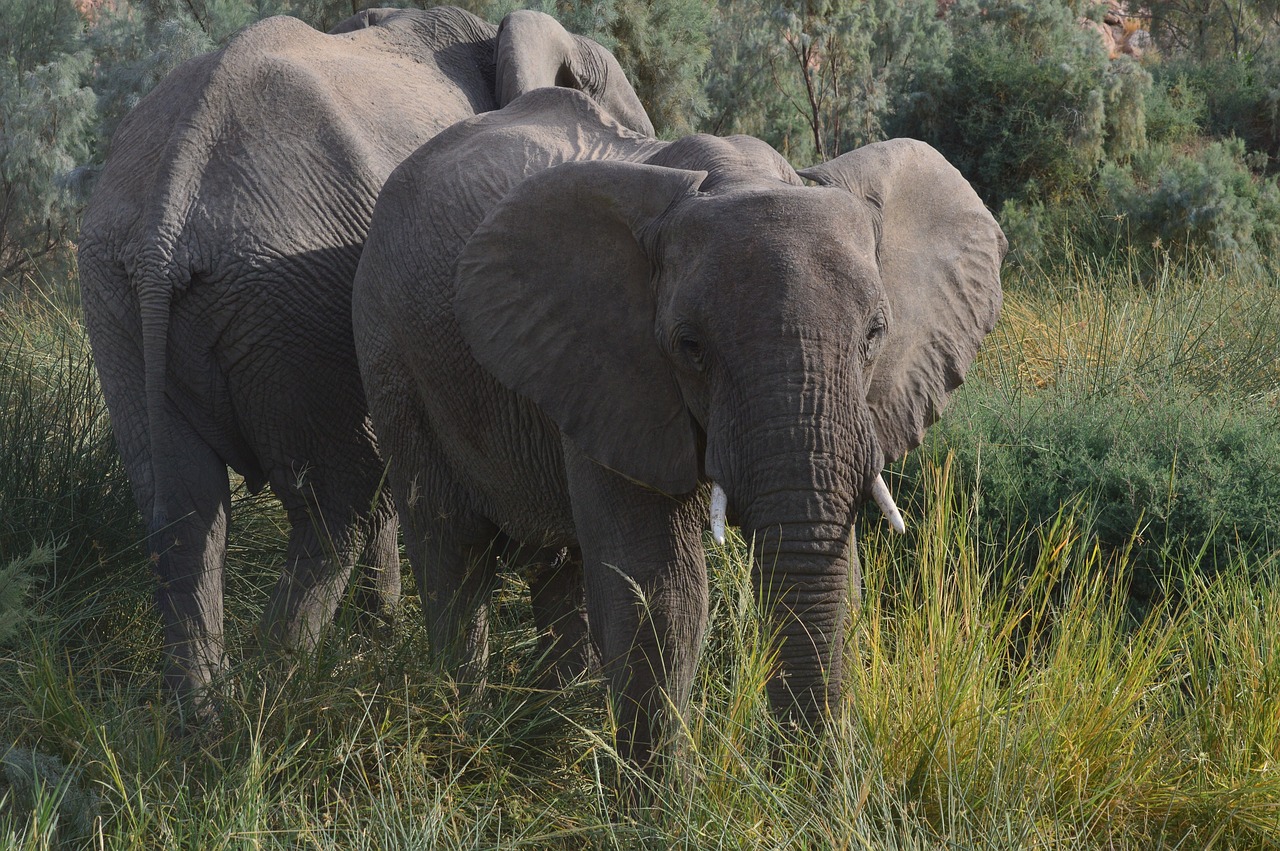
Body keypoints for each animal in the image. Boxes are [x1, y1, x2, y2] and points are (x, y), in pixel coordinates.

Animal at [73, 6, 650, 721]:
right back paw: (279, 689)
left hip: (120, 295)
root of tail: (168, 216)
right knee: (338, 503)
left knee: (182, 503)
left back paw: (205, 720)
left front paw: (383, 640)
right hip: (289, 298)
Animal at [350, 86, 1008, 767]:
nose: (800, 774)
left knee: (559, 565)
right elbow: (660, 595)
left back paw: (556, 722)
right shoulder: (607, 365)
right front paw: (659, 794)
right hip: (392, 356)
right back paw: (467, 728)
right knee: (452, 550)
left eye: (875, 335)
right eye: (690, 346)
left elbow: (838, 576)